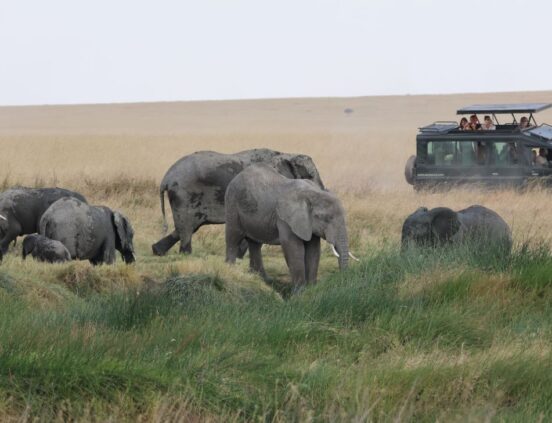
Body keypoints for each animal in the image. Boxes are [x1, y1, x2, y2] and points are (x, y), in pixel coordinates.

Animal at [150, 148, 324, 255]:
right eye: (309, 176)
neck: (285, 154)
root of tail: (165, 179)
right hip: (185, 196)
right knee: (186, 228)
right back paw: (185, 254)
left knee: (186, 227)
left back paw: (157, 251)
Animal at [226, 163, 356, 292]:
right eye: (325, 218)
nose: (342, 279)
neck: (313, 193)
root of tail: (237, 176)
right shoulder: (286, 219)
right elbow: (293, 247)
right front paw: (299, 293)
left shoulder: (308, 223)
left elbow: (313, 250)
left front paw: (311, 290)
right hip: (232, 204)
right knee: (233, 237)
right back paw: (231, 270)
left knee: (255, 244)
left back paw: (262, 279)